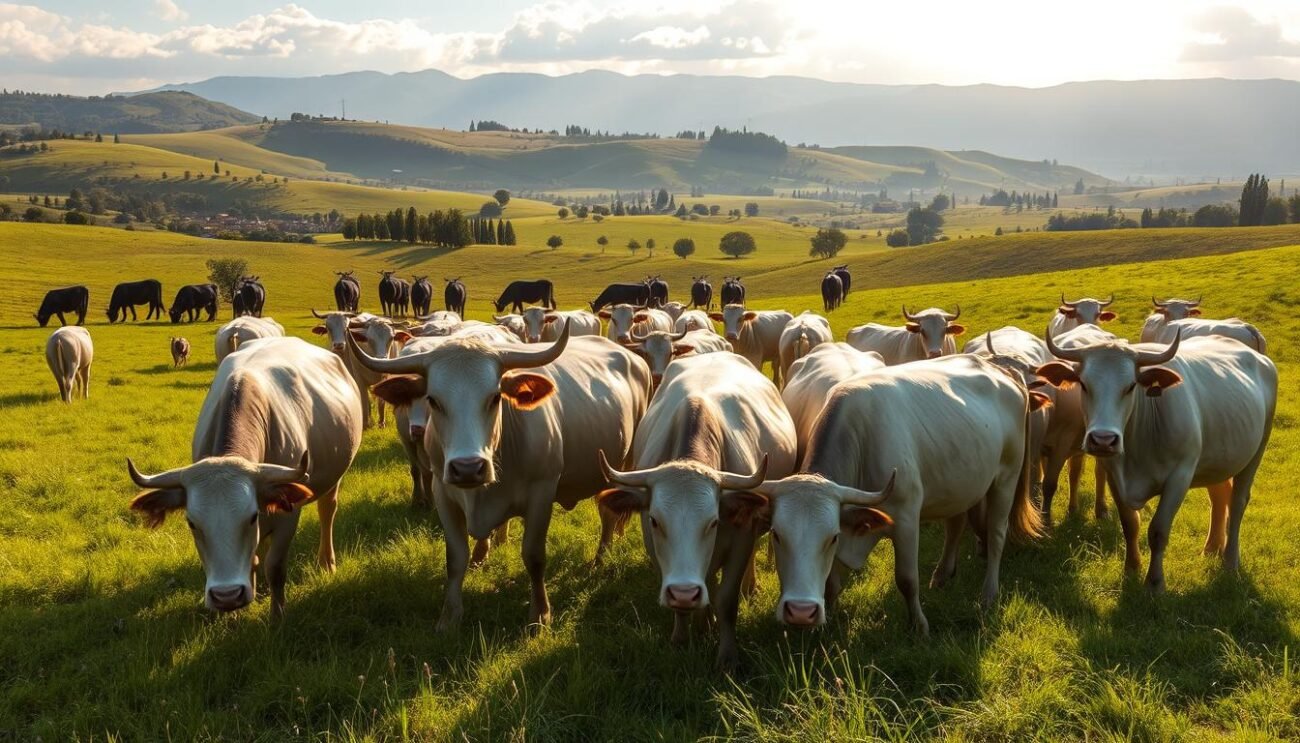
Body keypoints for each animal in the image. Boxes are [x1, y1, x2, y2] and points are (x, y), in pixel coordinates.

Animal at [124, 337, 364, 615]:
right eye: (192, 523)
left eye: (251, 517)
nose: (226, 595)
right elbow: (253, 559)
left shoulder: (287, 515)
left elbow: (275, 567)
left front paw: (277, 616)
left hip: (333, 479)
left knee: (327, 512)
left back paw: (326, 563)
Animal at [356, 327, 655, 628]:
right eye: (433, 400)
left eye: (495, 398)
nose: (468, 467)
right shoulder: (443, 493)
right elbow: (455, 558)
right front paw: (450, 616)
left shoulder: (542, 493)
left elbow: (533, 556)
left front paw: (540, 613)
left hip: (623, 464)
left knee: (608, 513)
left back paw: (601, 557)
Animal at [595, 350, 795, 670]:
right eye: (655, 521)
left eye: (713, 522)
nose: (685, 593)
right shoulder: (656, 549)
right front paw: (682, 636)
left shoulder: (740, 540)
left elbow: (727, 600)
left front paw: (727, 655)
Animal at [743, 353, 1045, 633]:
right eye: (776, 535)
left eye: (832, 537)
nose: (801, 611)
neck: (862, 440)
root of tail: (1003, 371)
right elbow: (831, 582)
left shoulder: (907, 519)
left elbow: (907, 579)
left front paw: (919, 625)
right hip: (961, 484)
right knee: (955, 525)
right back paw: (942, 575)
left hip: (1006, 477)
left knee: (996, 534)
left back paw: (988, 593)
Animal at [1034, 332, 1279, 589]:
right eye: (1083, 384)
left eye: (1131, 386)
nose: (1103, 440)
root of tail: (1261, 359)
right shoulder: (1114, 475)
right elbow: (1129, 523)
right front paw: (1131, 568)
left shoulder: (1179, 477)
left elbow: (1158, 531)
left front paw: (1155, 582)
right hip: (1218, 458)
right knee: (1220, 496)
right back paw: (1211, 548)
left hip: (1257, 449)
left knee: (1238, 501)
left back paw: (1230, 561)